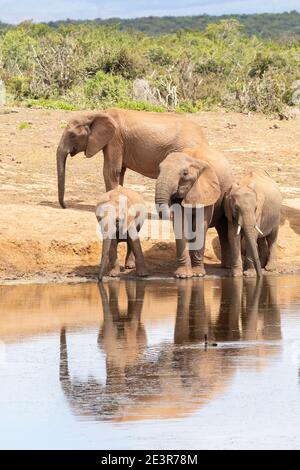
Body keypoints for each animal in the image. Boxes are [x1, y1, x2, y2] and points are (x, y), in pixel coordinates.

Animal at [56, 109, 207, 208]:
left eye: (72, 135)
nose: (66, 206)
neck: (96, 114)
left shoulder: (115, 138)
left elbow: (111, 171)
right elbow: (119, 172)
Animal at [155, 145, 234, 278]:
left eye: (185, 173)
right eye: (159, 169)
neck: (193, 159)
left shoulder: (206, 191)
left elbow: (199, 226)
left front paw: (198, 274)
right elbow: (180, 225)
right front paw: (183, 276)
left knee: (223, 228)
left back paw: (227, 266)